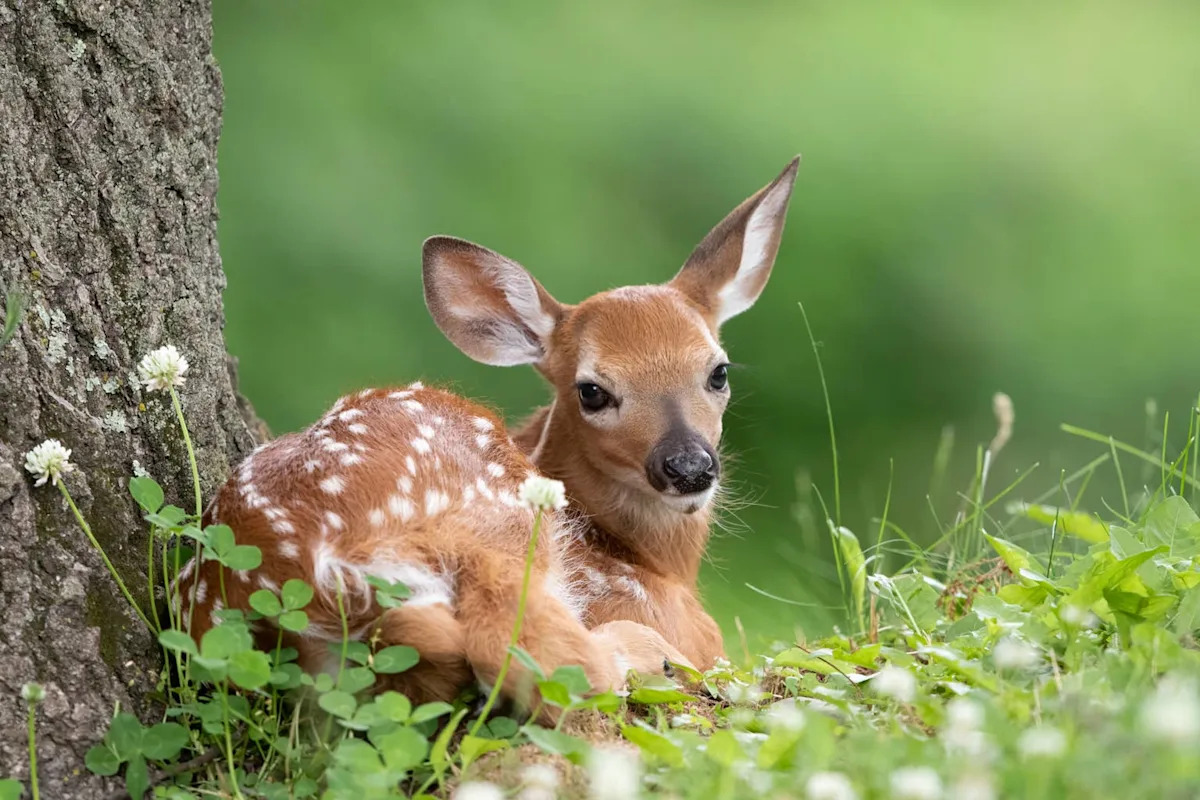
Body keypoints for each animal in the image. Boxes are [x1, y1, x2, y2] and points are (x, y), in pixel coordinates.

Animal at [174, 155, 800, 712]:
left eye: (718, 371)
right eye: (592, 391)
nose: (689, 466)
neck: (649, 560)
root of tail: (317, 574)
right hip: (496, 524)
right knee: (536, 655)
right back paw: (651, 657)